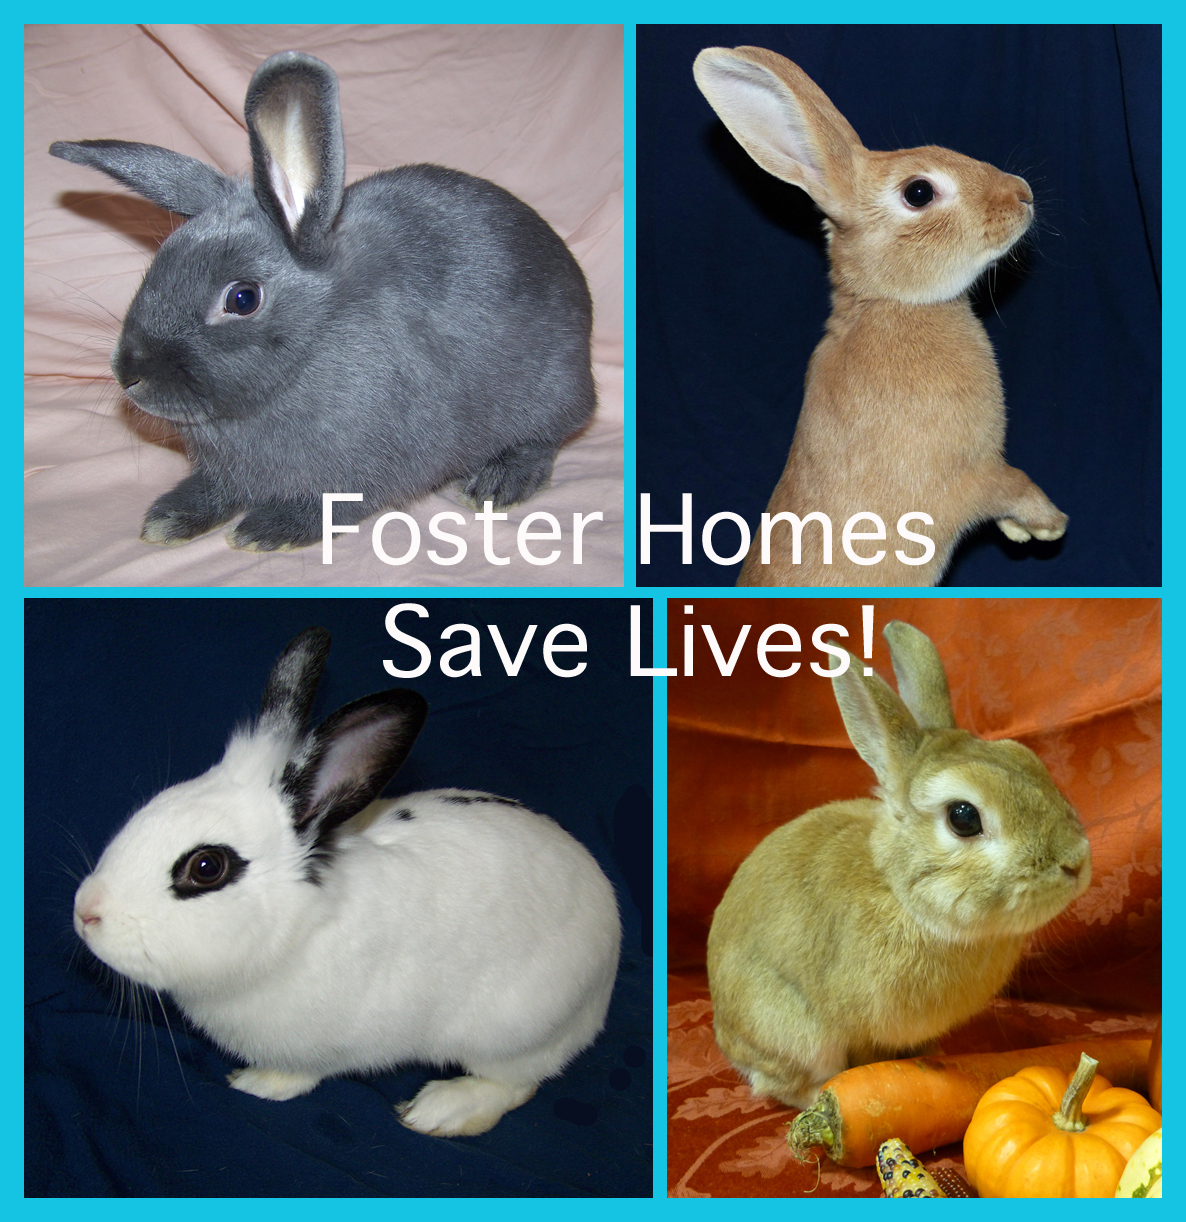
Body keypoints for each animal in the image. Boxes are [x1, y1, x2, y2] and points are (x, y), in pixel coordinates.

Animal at [49, 50, 596, 551]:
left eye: (242, 298)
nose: (127, 373)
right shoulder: (229, 472)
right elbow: (216, 490)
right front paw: (169, 518)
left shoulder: (372, 465)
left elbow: (331, 504)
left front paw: (268, 529)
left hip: (548, 390)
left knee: (547, 437)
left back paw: (498, 483)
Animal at [72, 627, 621, 1137]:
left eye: (207, 867)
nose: (85, 913)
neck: (297, 931)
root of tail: (607, 969)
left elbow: (303, 1074)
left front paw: (256, 1083)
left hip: (511, 1030)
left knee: (516, 1083)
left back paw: (438, 1111)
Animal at [691, 47, 1068, 587]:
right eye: (918, 193)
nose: (1022, 193)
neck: (887, 303)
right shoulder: (972, 473)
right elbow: (1010, 485)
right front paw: (1048, 524)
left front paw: (1021, 533)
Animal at [706, 620, 1090, 1109]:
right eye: (963, 817)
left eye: (1027, 758)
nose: (1077, 862)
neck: (899, 891)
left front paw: (934, 1055)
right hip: (791, 1030)